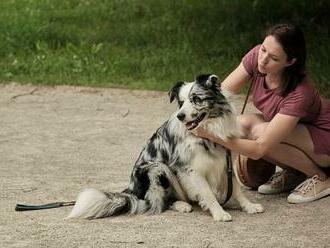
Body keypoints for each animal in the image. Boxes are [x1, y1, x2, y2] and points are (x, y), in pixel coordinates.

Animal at [68, 73, 264, 221]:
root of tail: (131, 191)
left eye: (196, 99)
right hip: (156, 167)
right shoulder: (191, 169)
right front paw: (219, 213)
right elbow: (207, 193)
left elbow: (237, 189)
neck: (207, 132)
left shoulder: (225, 162)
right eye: (181, 102)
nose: (180, 116)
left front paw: (249, 206)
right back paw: (182, 205)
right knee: (158, 202)